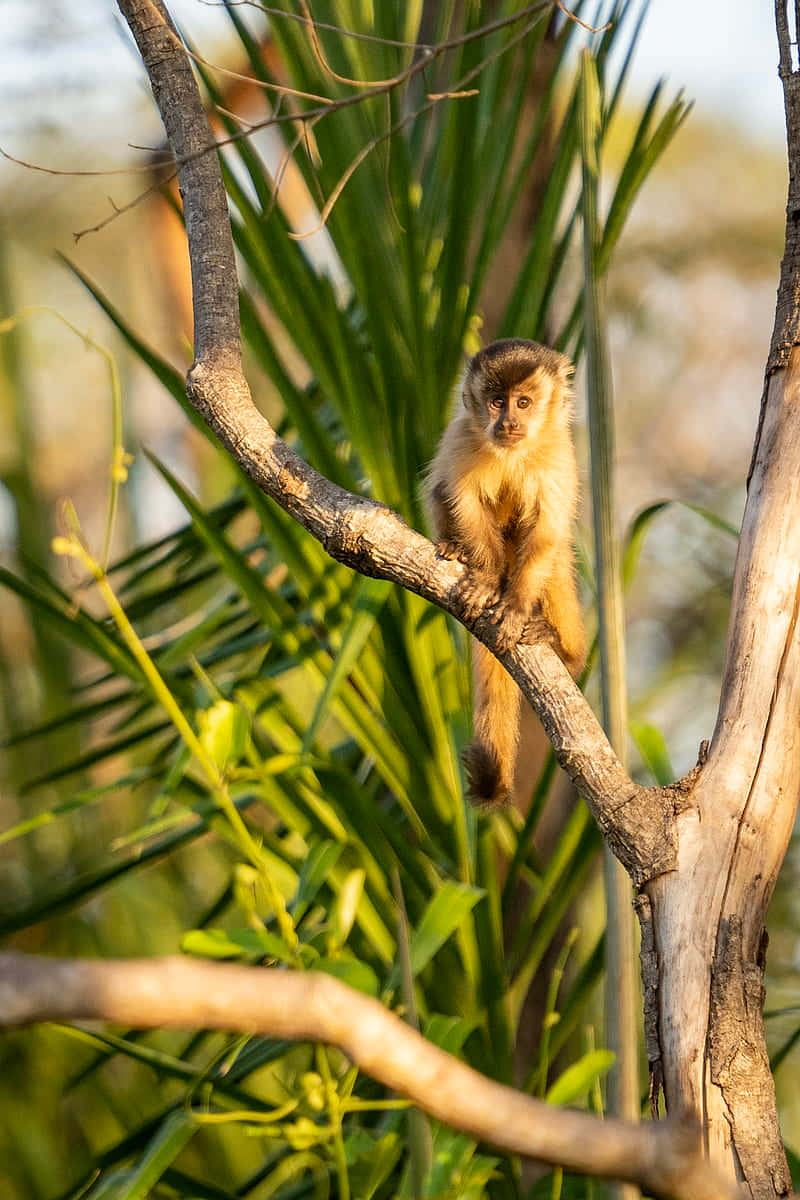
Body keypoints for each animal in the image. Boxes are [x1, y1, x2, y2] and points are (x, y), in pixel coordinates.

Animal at [427, 338, 585, 808]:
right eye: (497, 401)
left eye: (524, 402)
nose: (509, 421)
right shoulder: (461, 438)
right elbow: (461, 500)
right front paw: (485, 578)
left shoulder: (560, 451)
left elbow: (547, 533)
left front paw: (514, 606)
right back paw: (456, 549)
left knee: (555, 558)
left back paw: (565, 650)